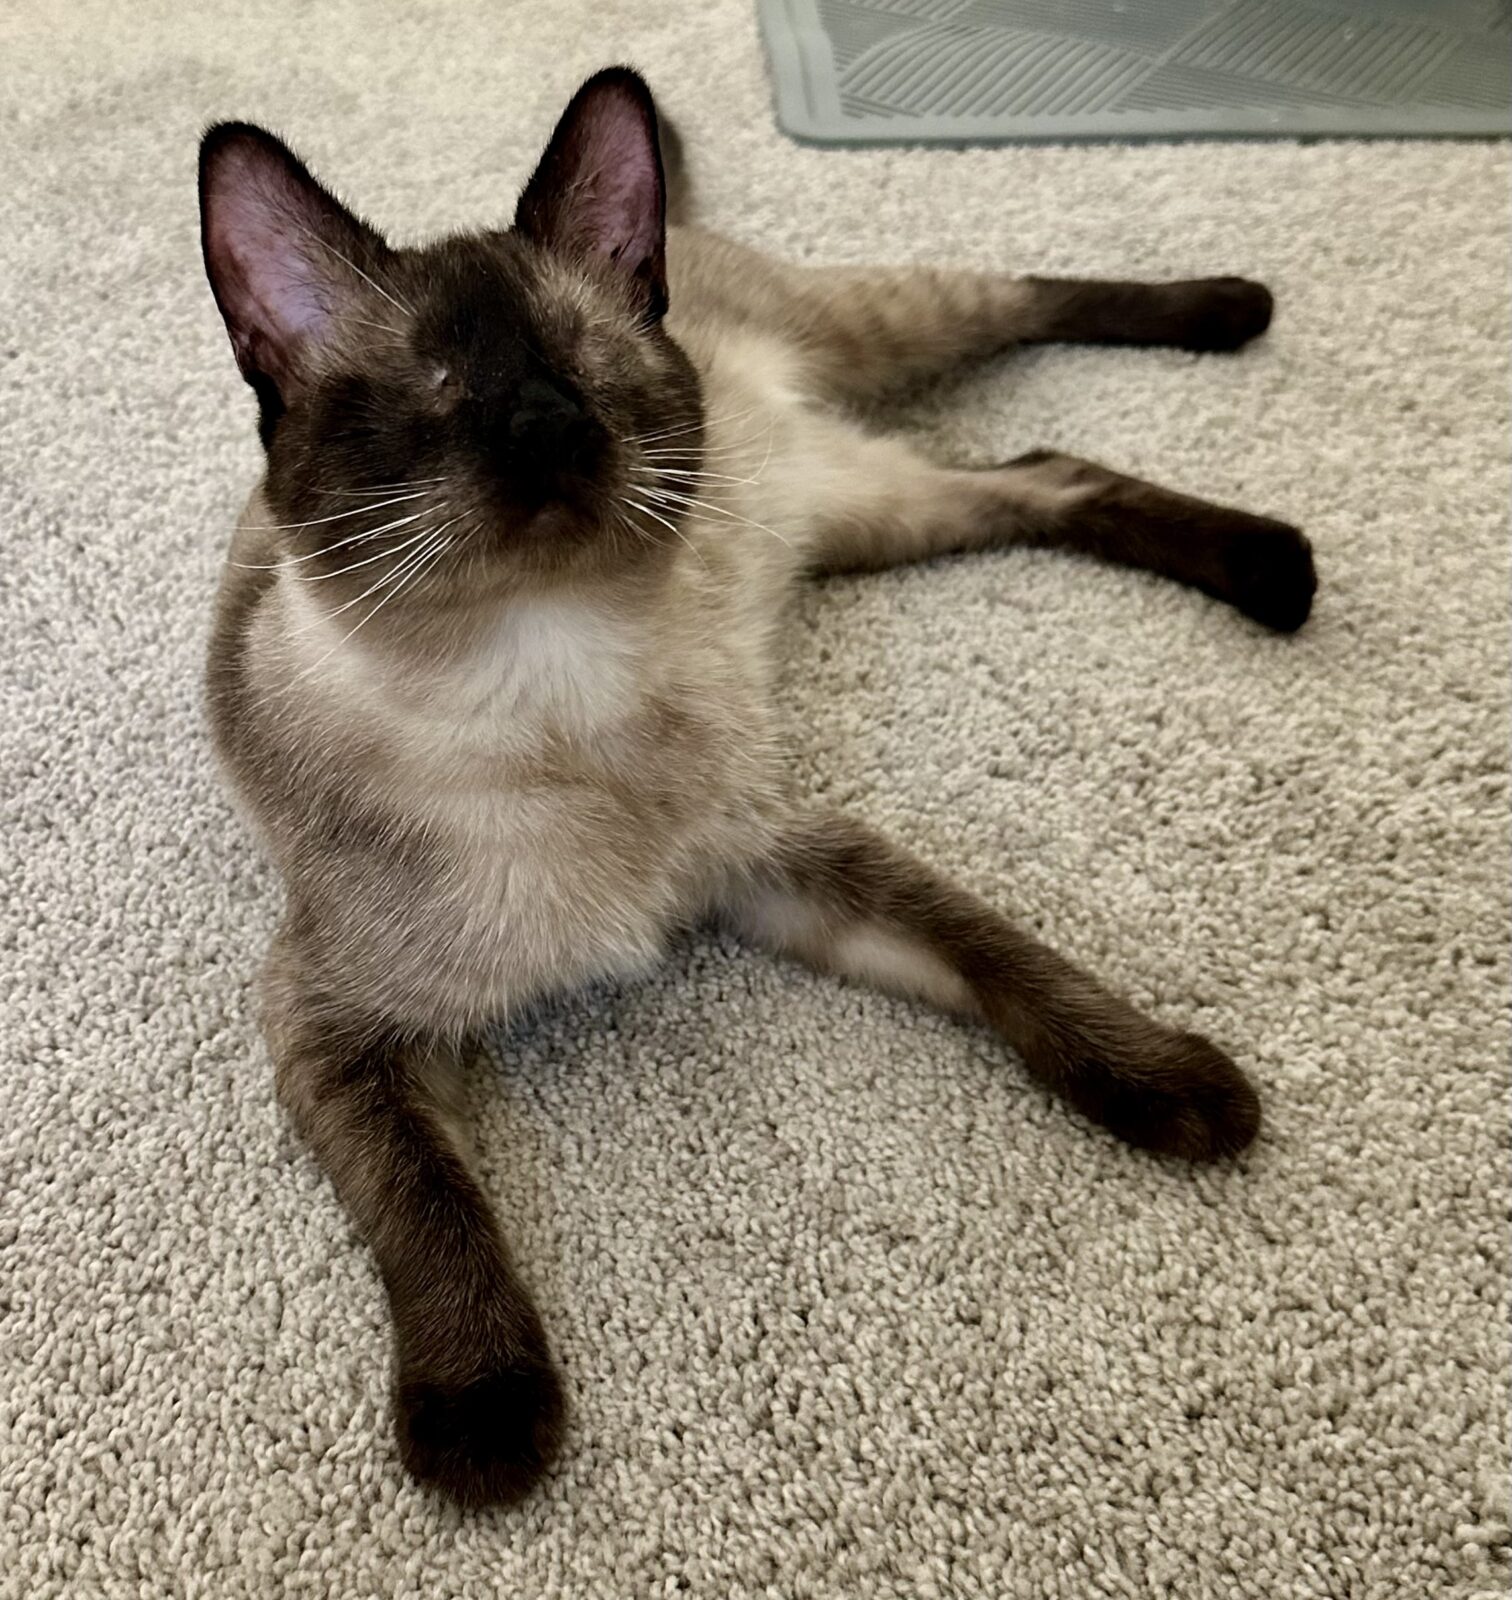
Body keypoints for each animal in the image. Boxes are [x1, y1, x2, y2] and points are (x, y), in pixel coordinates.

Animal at [197, 65, 1312, 1510]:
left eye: (584, 367)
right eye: (437, 385)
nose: (552, 426)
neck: (544, 686)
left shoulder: (789, 862)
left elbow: (1007, 959)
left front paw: (1181, 1088)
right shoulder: (337, 1026)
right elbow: (428, 1200)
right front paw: (485, 1423)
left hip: (884, 348)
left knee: (1029, 311)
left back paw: (1243, 354)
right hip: (879, 515)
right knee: (1040, 473)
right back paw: (1272, 562)